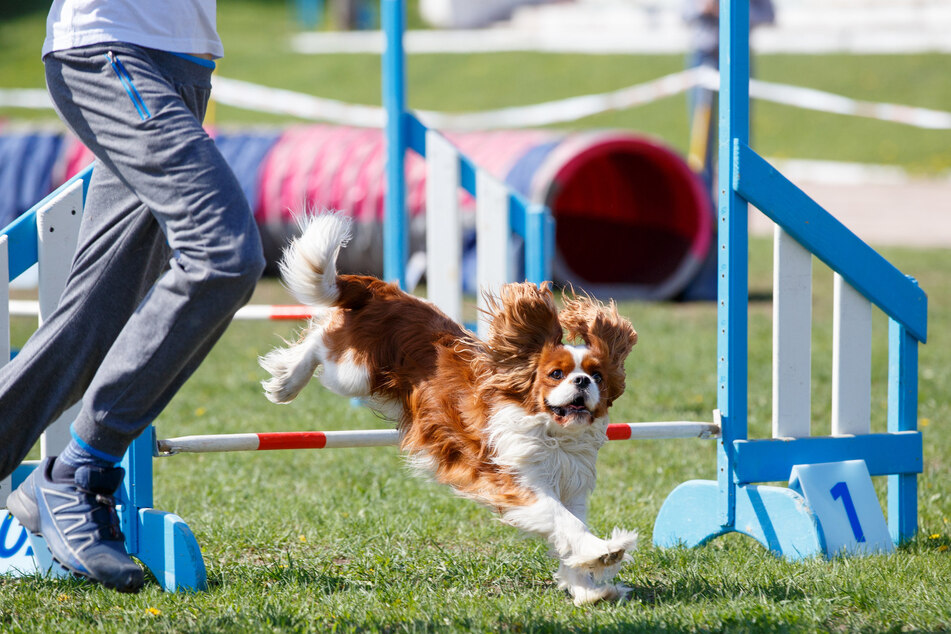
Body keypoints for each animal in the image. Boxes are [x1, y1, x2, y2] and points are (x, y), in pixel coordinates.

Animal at [260, 211, 640, 604]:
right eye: (556, 374)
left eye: (597, 376)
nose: (582, 382)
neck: (555, 437)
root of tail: (383, 290)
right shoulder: (516, 481)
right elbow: (565, 521)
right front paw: (604, 552)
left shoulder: (572, 488)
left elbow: (569, 532)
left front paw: (588, 588)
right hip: (352, 372)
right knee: (320, 337)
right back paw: (286, 382)